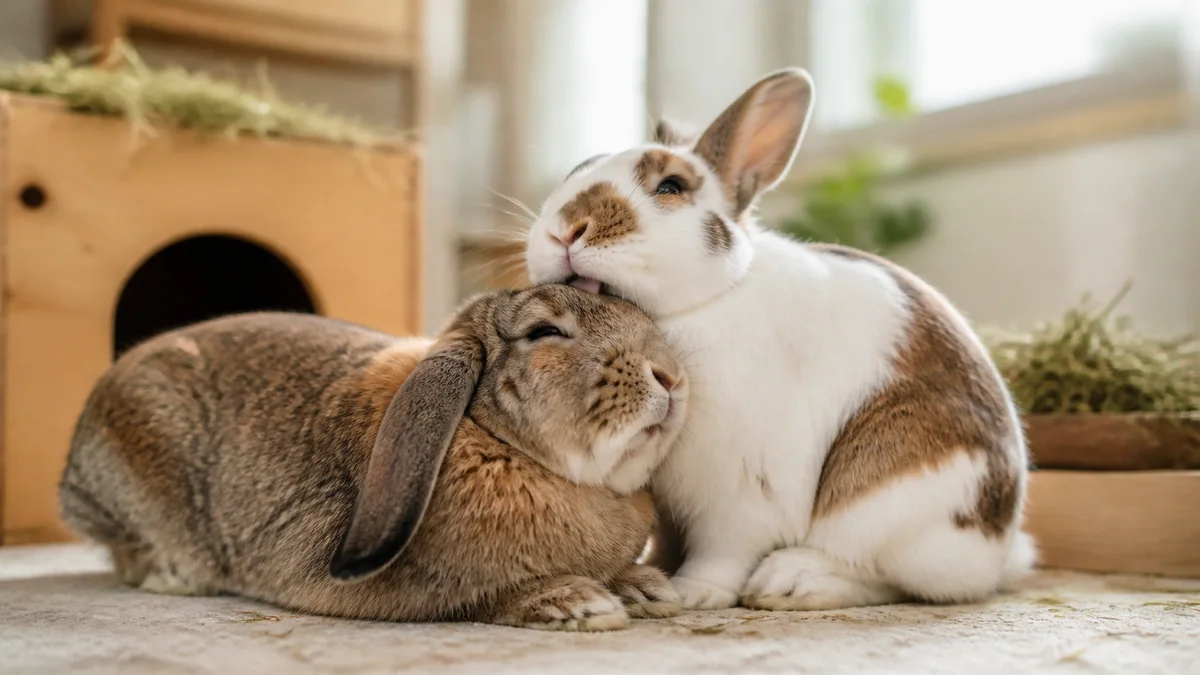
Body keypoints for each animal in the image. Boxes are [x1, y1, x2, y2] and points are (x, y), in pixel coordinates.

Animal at [58, 284, 689, 631]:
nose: (672, 376)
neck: (492, 438)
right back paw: (177, 576)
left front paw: (648, 589)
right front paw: (581, 604)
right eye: (544, 332)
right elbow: (474, 599)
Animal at [524, 67, 1035, 612]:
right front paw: (653, 573)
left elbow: (723, 550)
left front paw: (692, 593)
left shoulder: (738, 492)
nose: (563, 231)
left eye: (671, 186)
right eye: (576, 170)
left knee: (886, 576)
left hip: (886, 501)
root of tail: (998, 552)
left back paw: (788, 582)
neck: (704, 302)